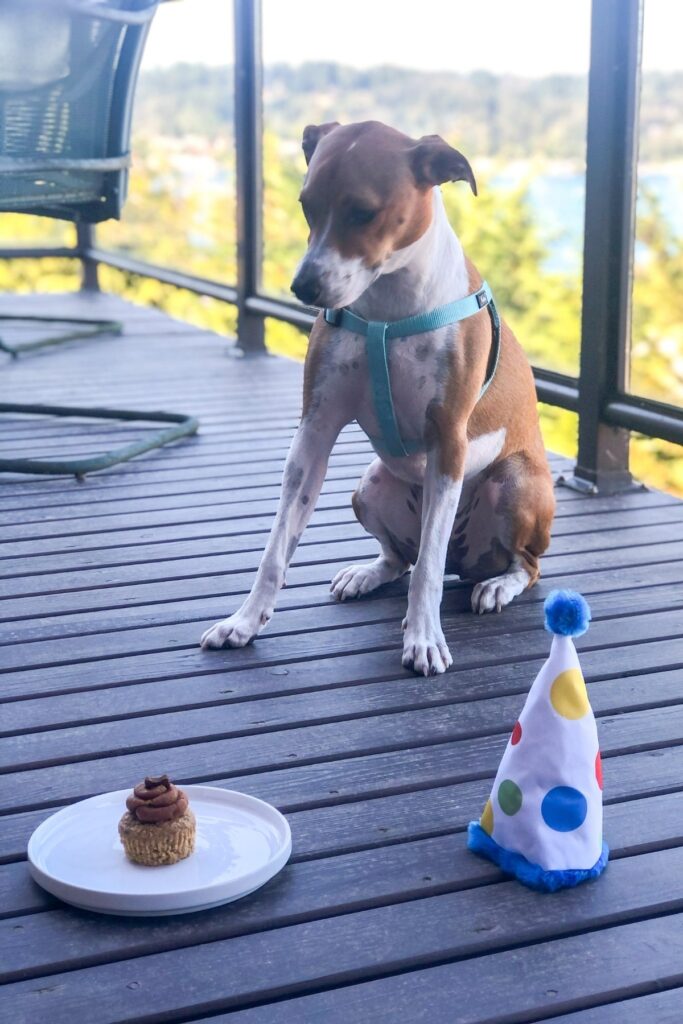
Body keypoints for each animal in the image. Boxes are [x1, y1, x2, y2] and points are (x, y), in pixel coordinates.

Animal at [201, 119, 557, 675]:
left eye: (363, 212)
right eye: (307, 206)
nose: (303, 286)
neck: (388, 307)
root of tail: (468, 560)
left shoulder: (449, 443)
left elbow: (428, 570)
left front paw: (424, 639)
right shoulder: (313, 433)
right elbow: (276, 549)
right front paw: (245, 621)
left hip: (515, 483)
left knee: (519, 562)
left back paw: (498, 585)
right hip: (368, 486)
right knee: (401, 557)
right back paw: (367, 573)